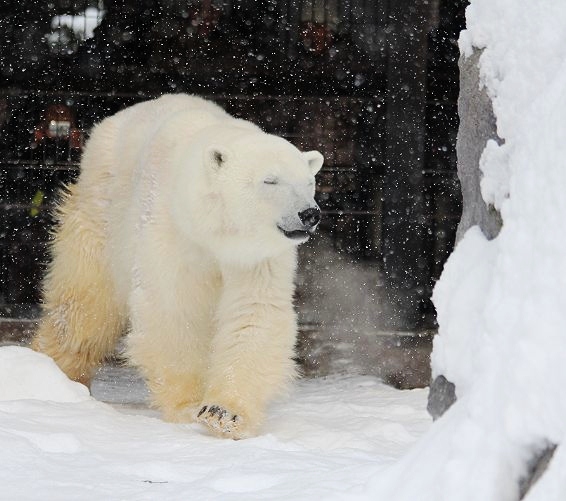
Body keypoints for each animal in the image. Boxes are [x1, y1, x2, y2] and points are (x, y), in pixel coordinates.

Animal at [32, 94, 324, 438]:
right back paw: (55, 374)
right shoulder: (171, 231)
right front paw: (187, 407)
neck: (211, 228)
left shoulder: (256, 257)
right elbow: (173, 309)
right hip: (102, 213)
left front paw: (224, 413)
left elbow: (253, 310)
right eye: (270, 180)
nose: (309, 214)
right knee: (84, 304)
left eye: (309, 182)